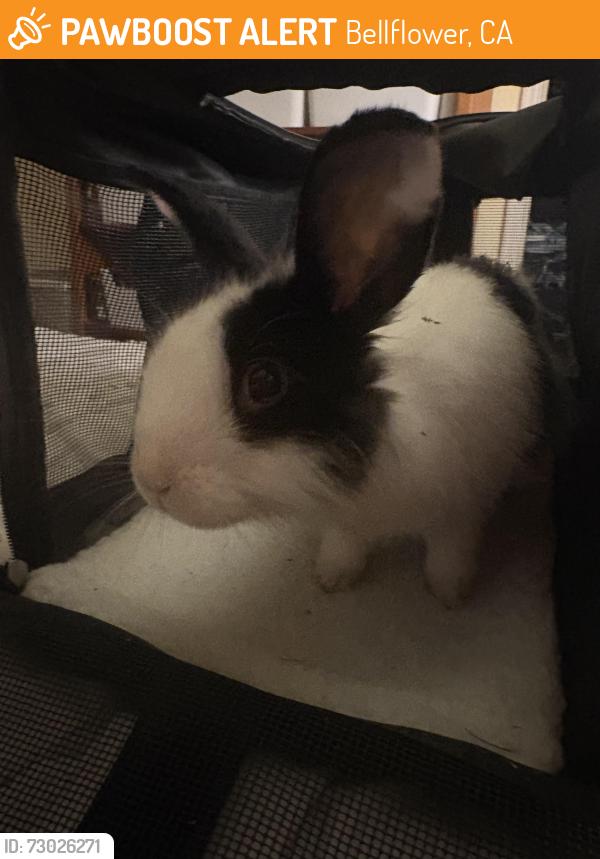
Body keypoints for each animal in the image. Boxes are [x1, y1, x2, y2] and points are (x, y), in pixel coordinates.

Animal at [131, 108, 560, 608]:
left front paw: (449, 594)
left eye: (265, 381)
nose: (152, 483)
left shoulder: (464, 505)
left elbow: (450, 548)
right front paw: (333, 578)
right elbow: (345, 542)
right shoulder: (346, 521)